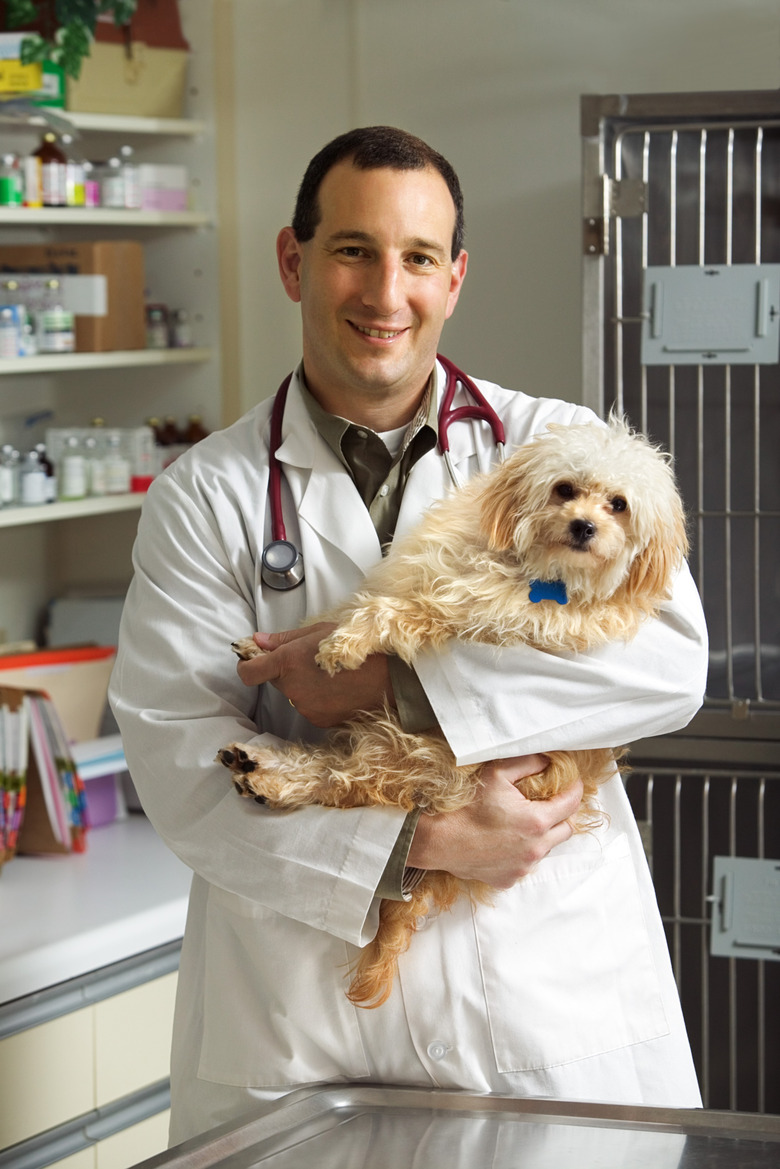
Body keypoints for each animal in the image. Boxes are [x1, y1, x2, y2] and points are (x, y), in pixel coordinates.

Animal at [219, 416, 687, 1010]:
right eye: (565, 489)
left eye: (619, 505)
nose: (584, 526)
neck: (527, 567)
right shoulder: (416, 573)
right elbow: (341, 610)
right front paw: (277, 644)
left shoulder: (454, 616)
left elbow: (388, 615)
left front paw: (341, 646)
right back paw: (257, 768)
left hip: (418, 755)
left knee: (345, 783)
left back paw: (269, 779)